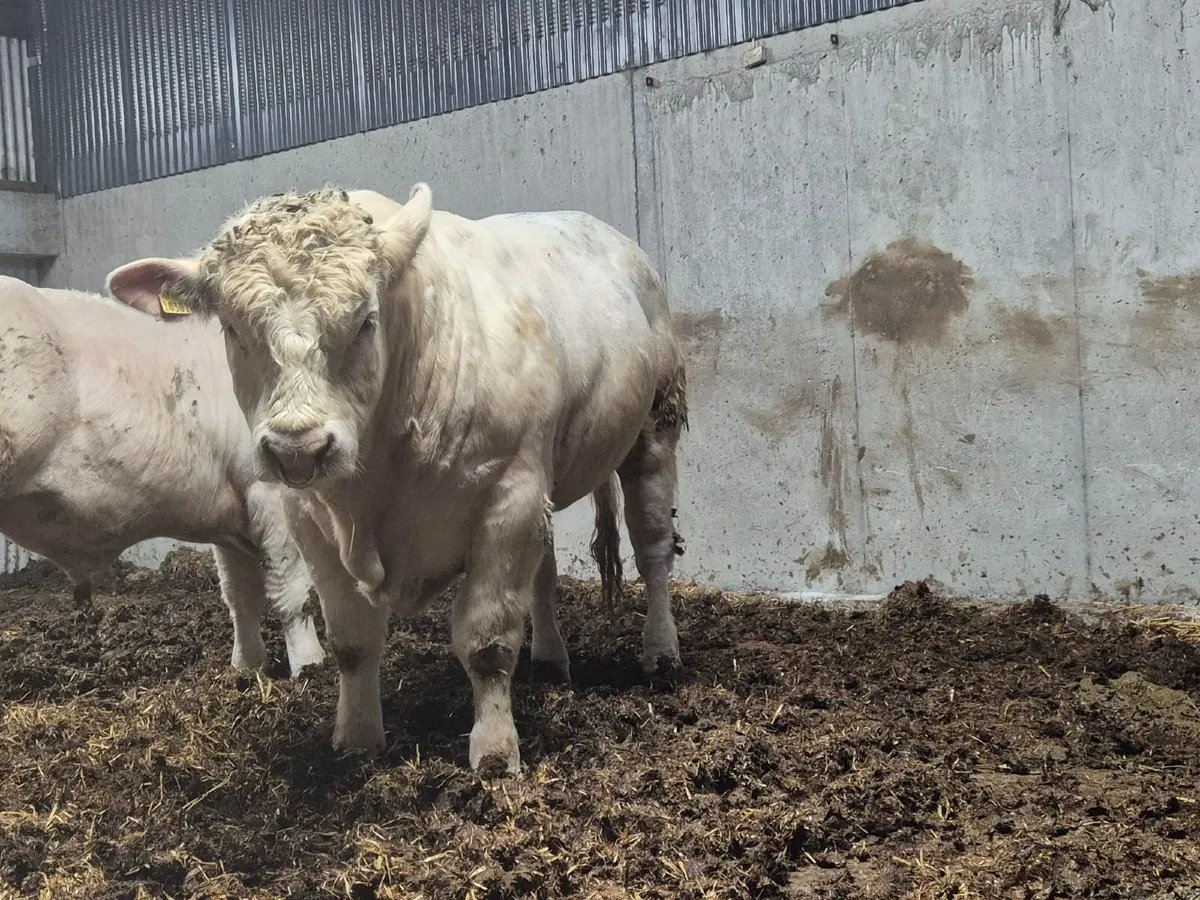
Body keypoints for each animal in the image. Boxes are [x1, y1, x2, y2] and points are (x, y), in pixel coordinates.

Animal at [0, 276, 325, 678]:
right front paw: (310, 667)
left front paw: (246, 669)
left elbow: (240, 595)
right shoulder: (269, 488)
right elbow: (292, 591)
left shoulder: (234, 507)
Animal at [105, 183, 688, 774]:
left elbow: (488, 641)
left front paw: (495, 753)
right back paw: (550, 659)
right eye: (231, 327)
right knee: (544, 573)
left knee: (653, 546)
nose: (298, 448)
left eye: (365, 320)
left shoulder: (510, 493)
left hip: (654, 427)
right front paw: (356, 738)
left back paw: (661, 652)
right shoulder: (309, 518)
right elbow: (351, 640)